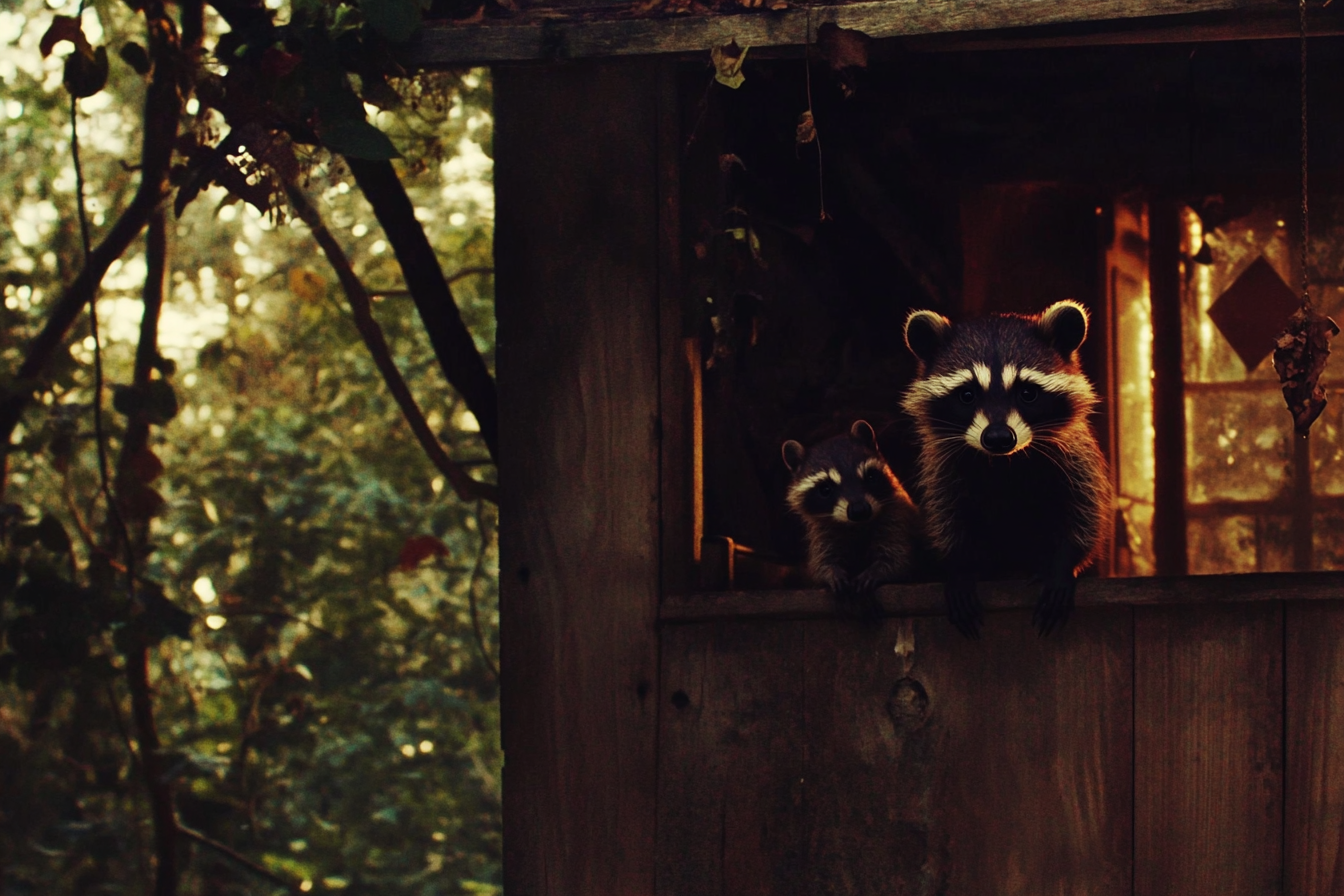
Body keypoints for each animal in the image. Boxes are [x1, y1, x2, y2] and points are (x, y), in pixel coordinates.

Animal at [779, 421, 924, 609]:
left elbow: (899, 558)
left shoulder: (897, 517)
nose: (860, 510)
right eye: (825, 489)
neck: (857, 525)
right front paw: (831, 572)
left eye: (871, 477)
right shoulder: (821, 531)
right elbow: (820, 562)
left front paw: (877, 571)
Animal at [903, 300, 1112, 636]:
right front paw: (959, 566)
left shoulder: (1075, 456)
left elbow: (1085, 512)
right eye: (967, 394)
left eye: (1028, 393)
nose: (999, 438)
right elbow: (946, 515)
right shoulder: (943, 467)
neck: (1004, 461)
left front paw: (1062, 564)